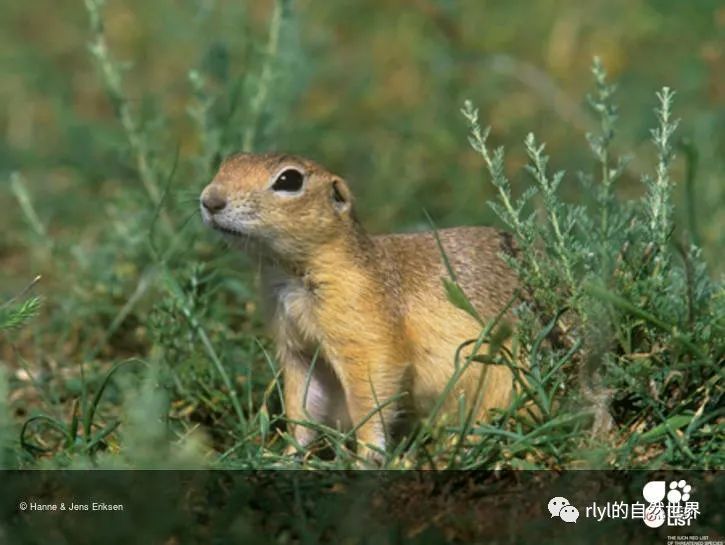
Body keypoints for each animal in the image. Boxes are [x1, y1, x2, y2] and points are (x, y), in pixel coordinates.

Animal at [198, 152, 520, 460]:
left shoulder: (362, 325)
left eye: (289, 180)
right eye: (229, 161)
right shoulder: (298, 350)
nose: (210, 200)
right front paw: (287, 456)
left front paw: (367, 454)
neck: (289, 275)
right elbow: (302, 403)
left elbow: (371, 391)